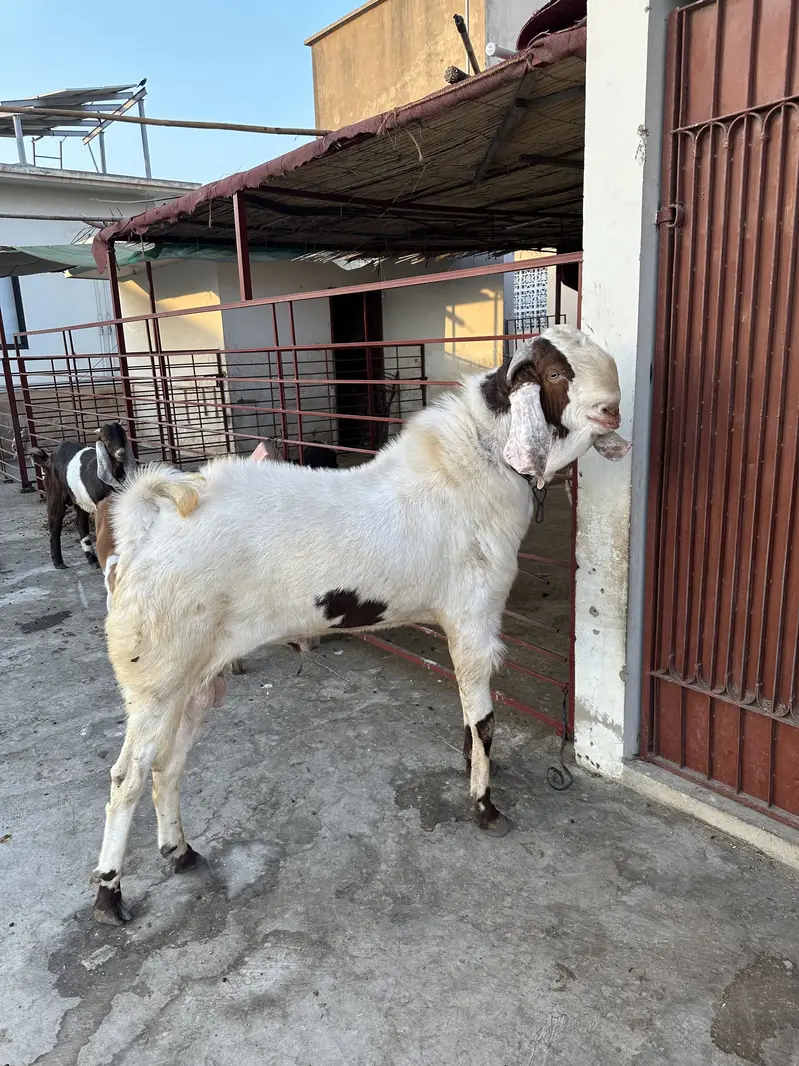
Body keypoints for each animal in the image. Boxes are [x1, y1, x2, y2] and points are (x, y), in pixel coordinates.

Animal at [31, 422, 134, 570]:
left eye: (123, 435)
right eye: (105, 440)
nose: (121, 453)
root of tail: (49, 458)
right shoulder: (100, 503)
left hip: (79, 499)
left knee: (81, 522)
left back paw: (92, 558)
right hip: (54, 492)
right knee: (54, 521)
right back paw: (59, 562)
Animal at [91, 326, 631, 925]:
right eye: (556, 374)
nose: (612, 409)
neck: (477, 463)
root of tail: (146, 525)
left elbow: (470, 718)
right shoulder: (474, 615)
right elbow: (485, 720)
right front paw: (486, 807)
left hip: (198, 674)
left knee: (168, 764)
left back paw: (180, 852)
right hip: (156, 671)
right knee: (128, 776)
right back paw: (109, 896)